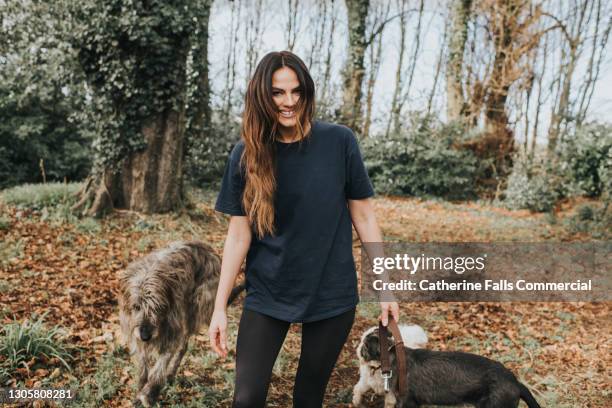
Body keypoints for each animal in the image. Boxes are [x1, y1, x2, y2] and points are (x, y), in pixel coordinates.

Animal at [117, 241, 244, 406]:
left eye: (157, 307)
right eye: (136, 306)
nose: (145, 336)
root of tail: (208, 249)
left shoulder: (172, 332)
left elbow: (160, 365)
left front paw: (150, 392)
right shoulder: (136, 337)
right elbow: (143, 366)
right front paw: (140, 390)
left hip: (195, 308)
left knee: (183, 346)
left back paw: (169, 374)